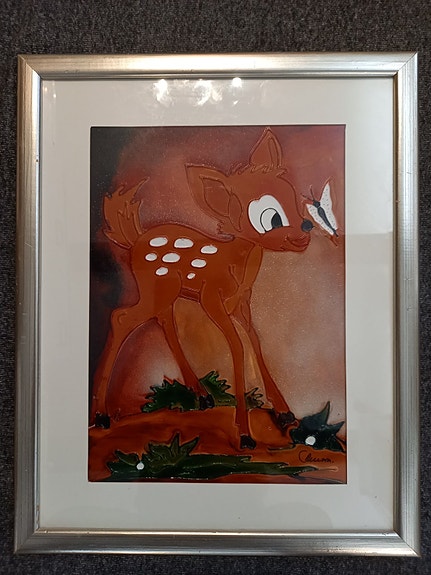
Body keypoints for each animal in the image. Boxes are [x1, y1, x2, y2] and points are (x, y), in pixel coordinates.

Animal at [90, 128, 316, 450]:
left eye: (294, 198)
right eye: (270, 217)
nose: (307, 227)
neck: (236, 263)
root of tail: (134, 242)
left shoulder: (241, 304)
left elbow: (254, 341)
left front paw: (285, 414)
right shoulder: (211, 298)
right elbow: (237, 346)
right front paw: (245, 434)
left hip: (165, 293)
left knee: (164, 322)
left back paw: (201, 395)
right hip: (158, 290)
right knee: (121, 318)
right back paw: (101, 416)